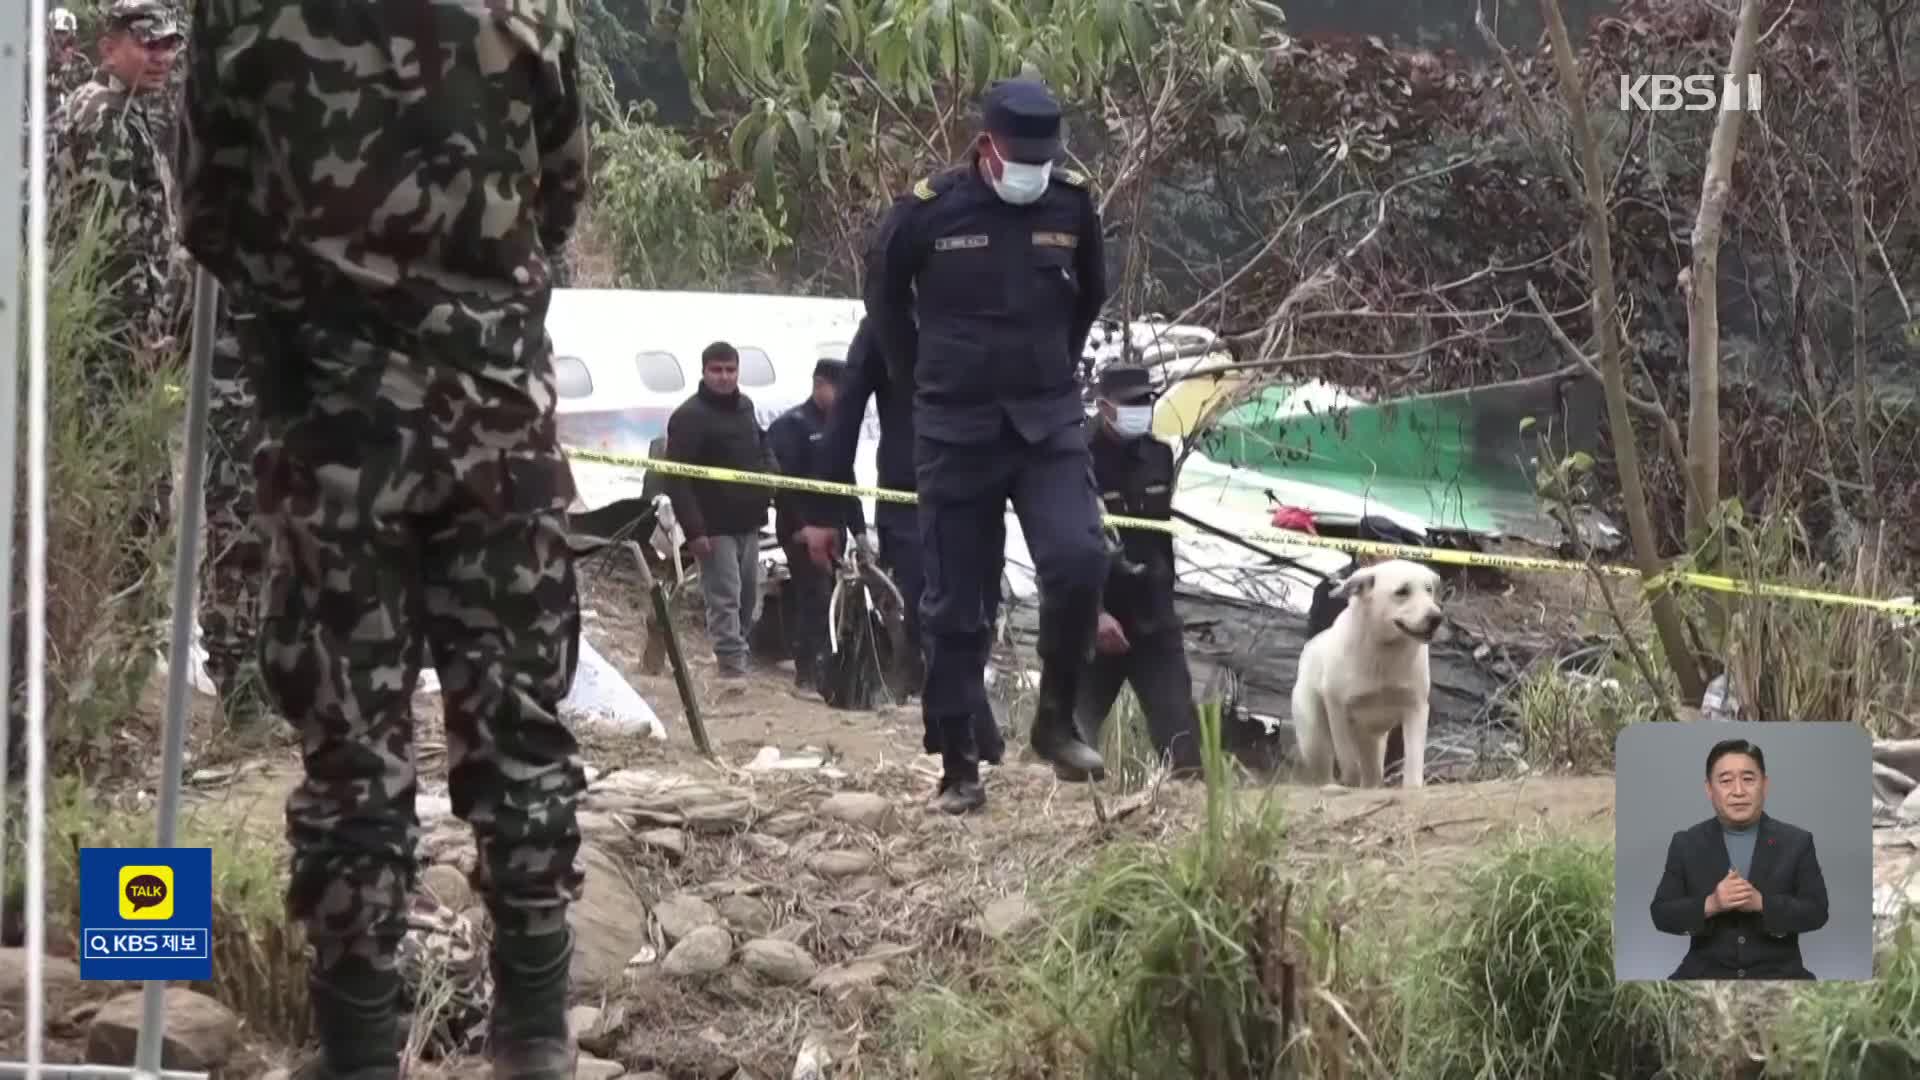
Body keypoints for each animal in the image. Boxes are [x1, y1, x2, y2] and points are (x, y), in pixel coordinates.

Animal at [1290, 557, 1443, 787]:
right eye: (1402, 591)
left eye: (1429, 590)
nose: (1436, 618)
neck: (1383, 652)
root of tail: (1311, 646)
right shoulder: (1339, 712)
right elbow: (1349, 762)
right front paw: (1350, 781)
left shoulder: (1415, 707)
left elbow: (1414, 761)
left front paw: (1413, 786)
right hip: (1313, 738)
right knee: (1326, 768)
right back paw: (1331, 786)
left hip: (1373, 741)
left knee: (1372, 773)